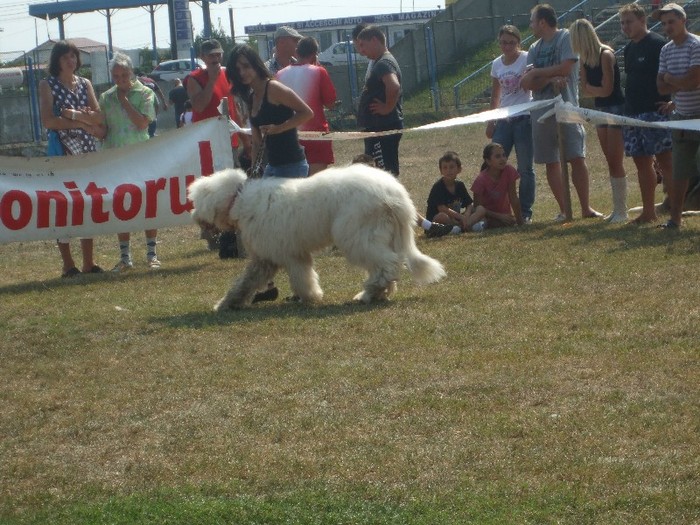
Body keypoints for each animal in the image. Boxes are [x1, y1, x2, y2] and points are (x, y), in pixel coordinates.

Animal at [189, 166, 446, 310]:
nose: (193, 216)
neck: (239, 200)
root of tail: (396, 196)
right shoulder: (268, 257)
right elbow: (246, 282)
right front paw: (227, 303)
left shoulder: (286, 254)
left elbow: (301, 278)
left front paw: (310, 296)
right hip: (383, 234)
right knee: (388, 266)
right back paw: (379, 293)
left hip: (358, 235)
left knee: (388, 264)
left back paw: (368, 293)